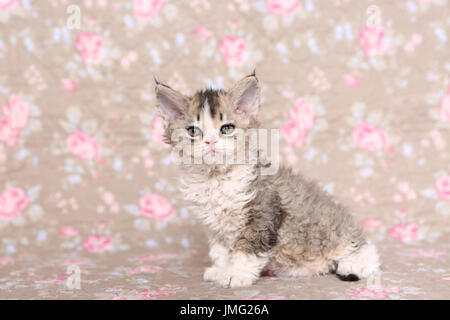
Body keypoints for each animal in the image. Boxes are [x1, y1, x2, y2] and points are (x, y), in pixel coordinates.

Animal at [155, 72, 380, 288]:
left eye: (226, 128)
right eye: (193, 131)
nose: (210, 141)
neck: (215, 178)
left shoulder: (263, 212)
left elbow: (247, 249)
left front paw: (236, 275)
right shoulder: (215, 228)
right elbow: (221, 253)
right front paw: (222, 270)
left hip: (336, 232)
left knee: (365, 249)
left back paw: (354, 264)